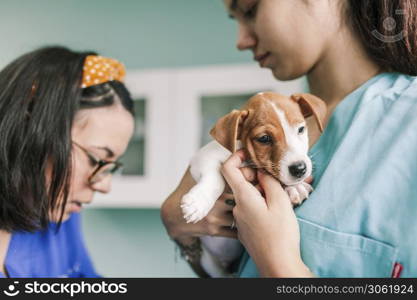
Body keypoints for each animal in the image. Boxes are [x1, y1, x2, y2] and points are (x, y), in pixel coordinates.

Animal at [180, 92, 326, 276]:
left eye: (301, 129)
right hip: (209, 262)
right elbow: (215, 179)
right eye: (264, 138)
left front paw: (295, 187)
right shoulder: (203, 158)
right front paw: (198, 203)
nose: (299, 168)